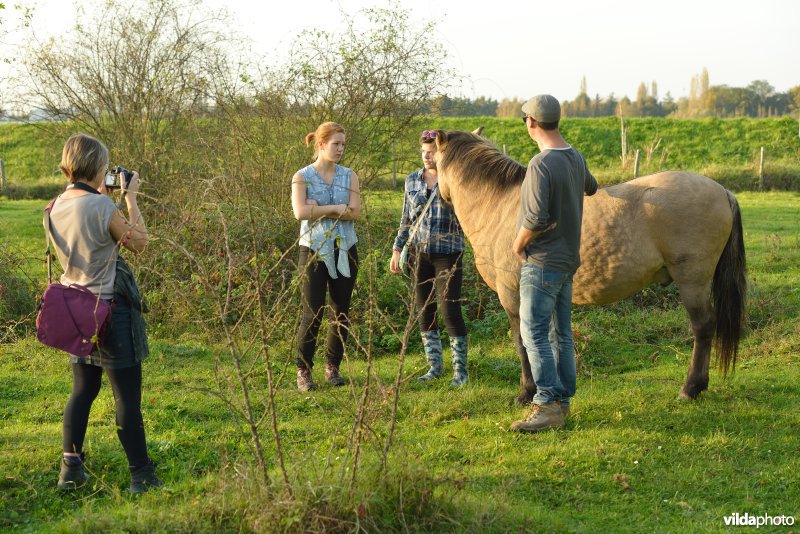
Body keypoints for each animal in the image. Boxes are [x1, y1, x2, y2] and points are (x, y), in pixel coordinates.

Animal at [434, 132, 748, 404]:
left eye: (431, 162)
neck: (500, 208)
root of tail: (723, 191)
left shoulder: (513, 294)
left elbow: (523, 341)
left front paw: (526, 392)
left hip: (692, 281)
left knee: (703, 327)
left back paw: (691, 387)